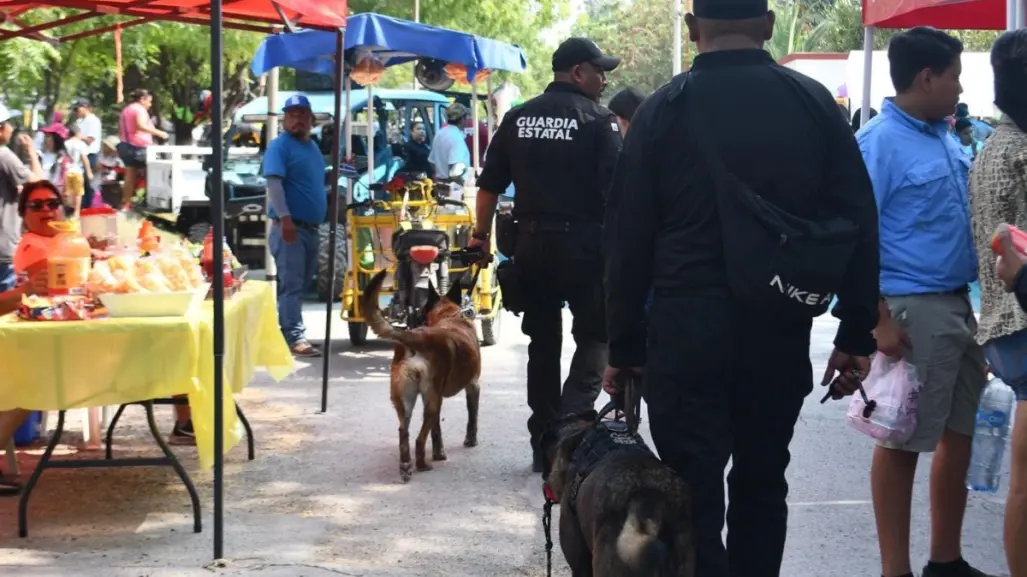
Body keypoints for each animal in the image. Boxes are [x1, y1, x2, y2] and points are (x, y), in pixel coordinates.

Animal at [361, 268, 480, 480]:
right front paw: (470, 440)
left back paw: (406, 465)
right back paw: (422, 464)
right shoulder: (473, 385)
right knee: (418, 438)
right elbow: (472, 417)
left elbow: (437, 431)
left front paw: (439, 453)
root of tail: (414, 337)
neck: (449, 316)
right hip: (431, 401)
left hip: (406, 400)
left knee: (404, 432)